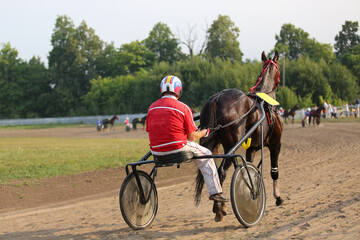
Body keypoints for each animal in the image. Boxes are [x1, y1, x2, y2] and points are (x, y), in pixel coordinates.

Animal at [195, 51, 282, 222]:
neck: (265, 103)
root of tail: (216, 98)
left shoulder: (252, 148)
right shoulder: (276, 144)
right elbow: (274, 171)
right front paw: (277, 197)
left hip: (214, 143)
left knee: (214, 170)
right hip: (231, 144)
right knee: (221, 171)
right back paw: (219, 206)